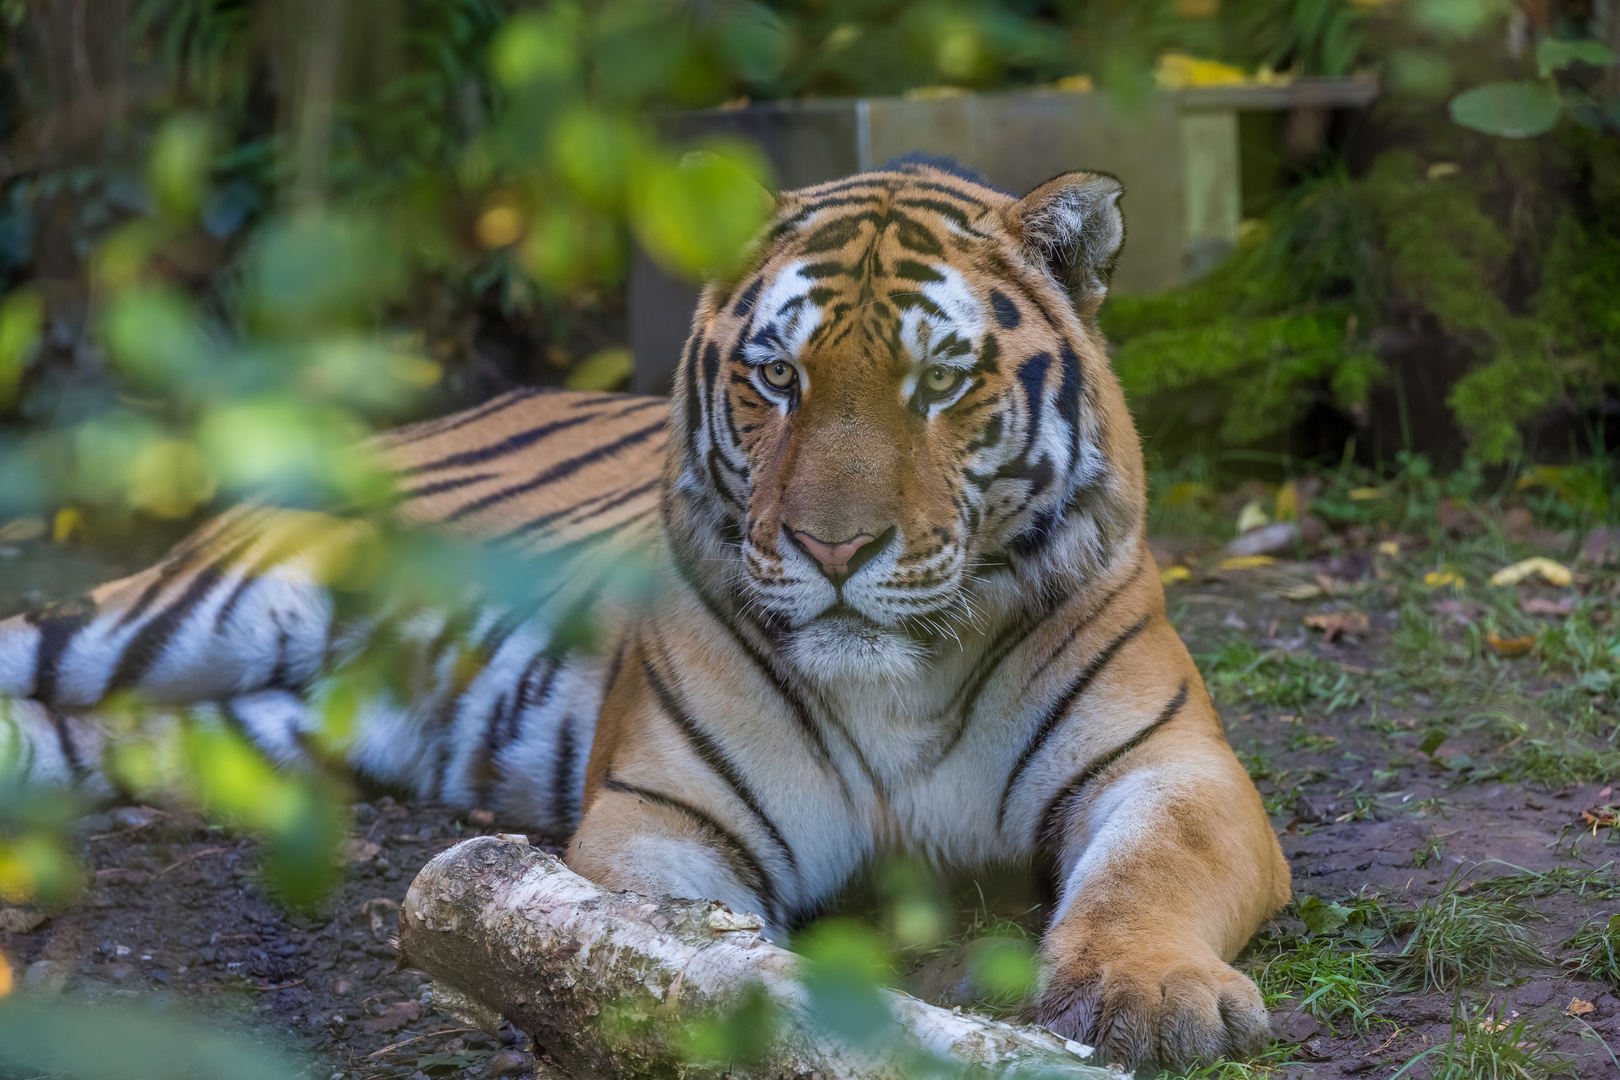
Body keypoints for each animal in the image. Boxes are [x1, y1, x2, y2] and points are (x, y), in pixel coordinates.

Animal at [0, 153, 1289, 1075]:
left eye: (942, 381)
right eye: (778, 377)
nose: (832, 549)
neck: (902, 683)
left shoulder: (1172, 767)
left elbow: (1146, 875)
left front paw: (1145, 996)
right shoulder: (662, 815)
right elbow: (670, 946)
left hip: (241, 728)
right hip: (197, 614)